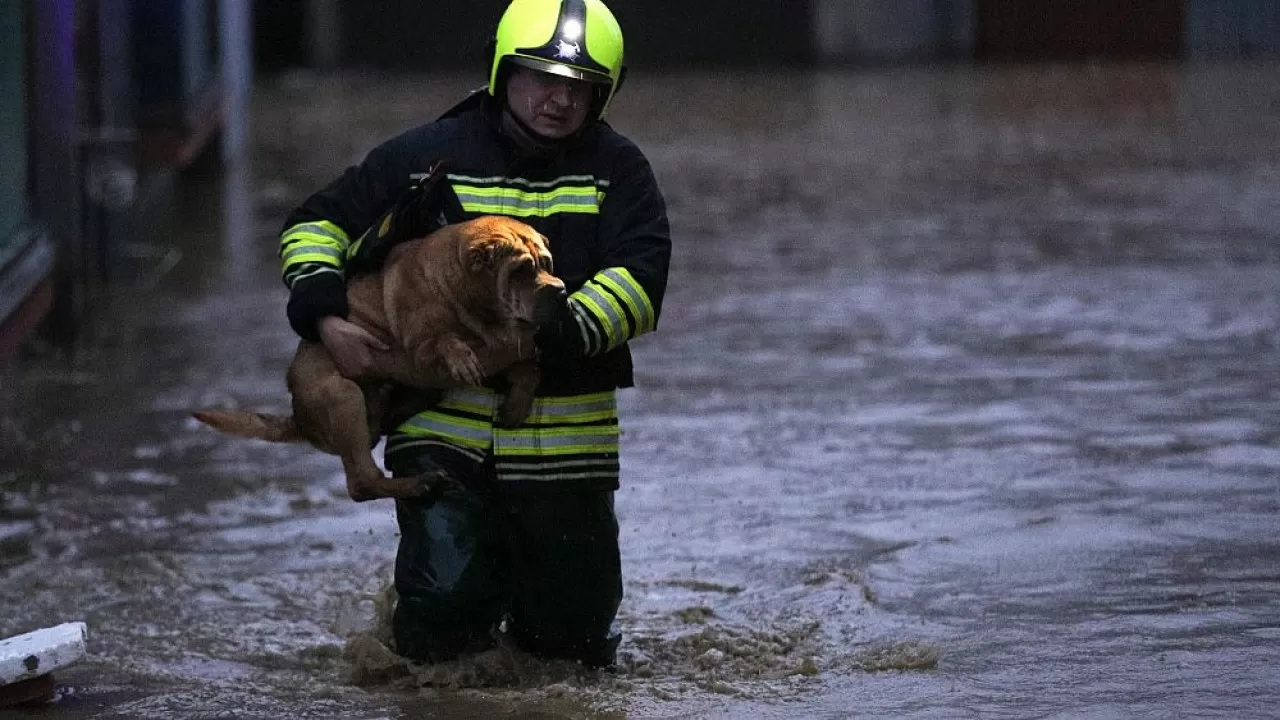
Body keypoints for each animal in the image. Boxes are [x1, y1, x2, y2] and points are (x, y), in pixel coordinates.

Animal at [190, 213, 565, 499]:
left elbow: (528, 367)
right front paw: (459, 353)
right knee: (362, 483)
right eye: (520, 271)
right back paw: (419, 484)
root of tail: (299, 417)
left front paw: (517, 402)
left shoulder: (504, 349)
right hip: (342, 396)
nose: (560, 290)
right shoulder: (422, 348)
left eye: (546, 263)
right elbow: (443, 340)